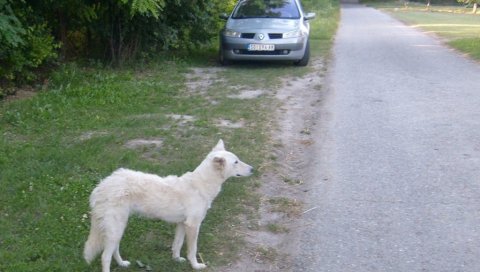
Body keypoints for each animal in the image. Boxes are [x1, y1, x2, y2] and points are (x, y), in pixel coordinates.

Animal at [84, 140, 253, 272]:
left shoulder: (182, 224)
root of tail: (101, 185)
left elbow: (177, 245)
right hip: (115, 227)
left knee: (114, 249)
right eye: (236, 162)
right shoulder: (193, 225)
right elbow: (192, 250)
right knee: (105, 256)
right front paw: (196, 266)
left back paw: (122, 264)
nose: (253, 169)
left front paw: (177, 260)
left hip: (118, 227)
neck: (199, 185)